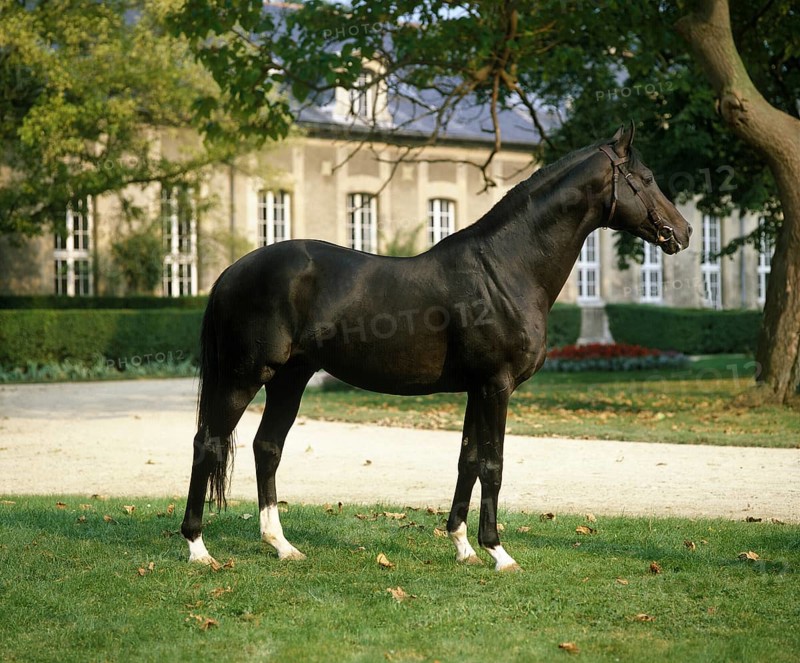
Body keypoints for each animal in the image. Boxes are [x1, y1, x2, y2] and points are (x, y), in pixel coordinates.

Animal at [181, 123, 692, 571]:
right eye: (647, 178)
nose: (684, 232)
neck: (506, 267)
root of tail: (232, 271)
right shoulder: (496, 386)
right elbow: (492, 464)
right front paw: (498, 552)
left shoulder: (476, 389)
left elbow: (467, 460)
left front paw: (463, 547)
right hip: (244, 377)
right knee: (207, 443)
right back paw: (198, 549)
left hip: (289, 379)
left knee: (267, 447)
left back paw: (282, 546)